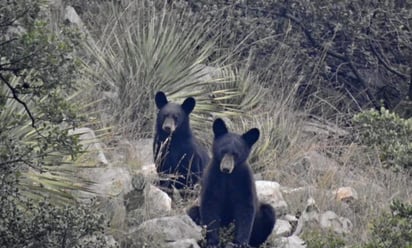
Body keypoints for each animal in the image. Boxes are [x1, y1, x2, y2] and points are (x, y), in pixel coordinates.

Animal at [188, 119, 276, 247]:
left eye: (236, 154)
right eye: (223, 151)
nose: (226, 168)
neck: (227, 177)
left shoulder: (244, 180)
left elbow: (245, 208)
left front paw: (240, 242)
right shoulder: (212, 178)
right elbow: (210, 205)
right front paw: (213, 241)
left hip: (260, 219)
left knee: (268, 213)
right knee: (193, 211)